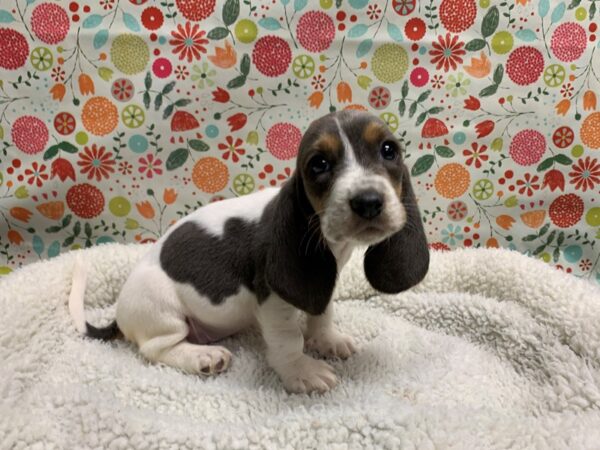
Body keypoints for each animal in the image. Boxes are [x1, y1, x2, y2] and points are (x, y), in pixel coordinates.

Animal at [70, 110, 428, 394]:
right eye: (319, 164)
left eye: (388, 150)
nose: (368, 201)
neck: (332, 241)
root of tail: (118, 315)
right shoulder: (274, 300)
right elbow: (288, 340)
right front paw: (301, 371)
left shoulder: (324, 280)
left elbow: (322, 313)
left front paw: (327, 340)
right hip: (161, 309)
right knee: (154, 349)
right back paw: (202, 357)